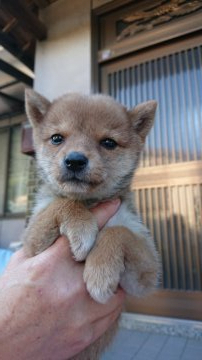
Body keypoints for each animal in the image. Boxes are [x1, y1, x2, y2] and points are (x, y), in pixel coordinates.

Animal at [22, 88, 160, 358]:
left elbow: (118, 231)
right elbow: (62, 203)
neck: (89, 203)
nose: (75, 160)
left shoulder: (145, 276)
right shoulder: (31, 245)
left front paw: (100, 272)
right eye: (57, 138)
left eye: (108, 143)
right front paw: (82, 228)